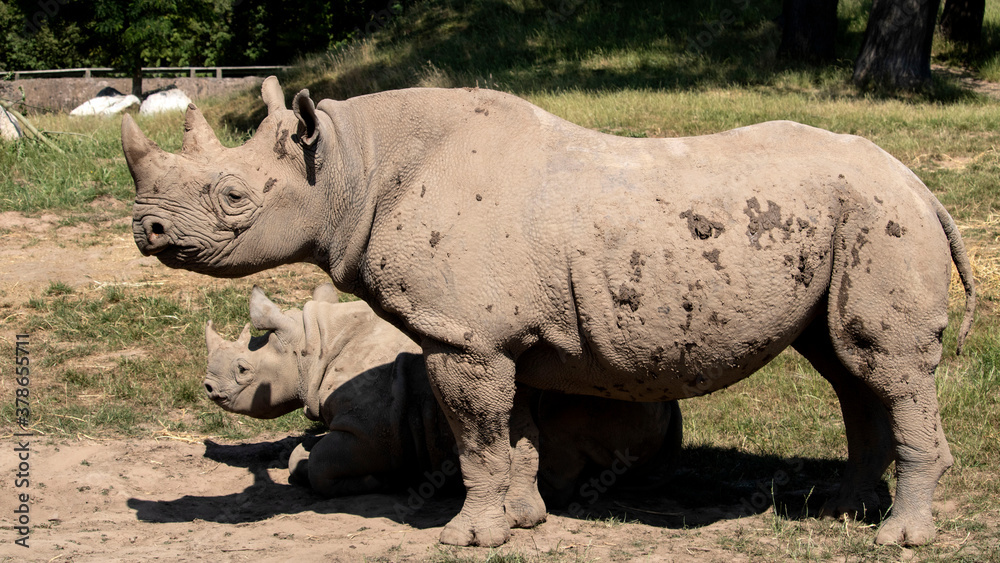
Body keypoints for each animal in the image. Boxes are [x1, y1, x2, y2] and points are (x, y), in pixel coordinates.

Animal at [206, 284, 684, 504]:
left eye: (243, 371)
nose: (209, 389)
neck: (313, 344)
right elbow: (302, 453)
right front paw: (301, 459)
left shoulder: (369, 432)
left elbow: (324, 466)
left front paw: (377, 482)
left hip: (607, 388)